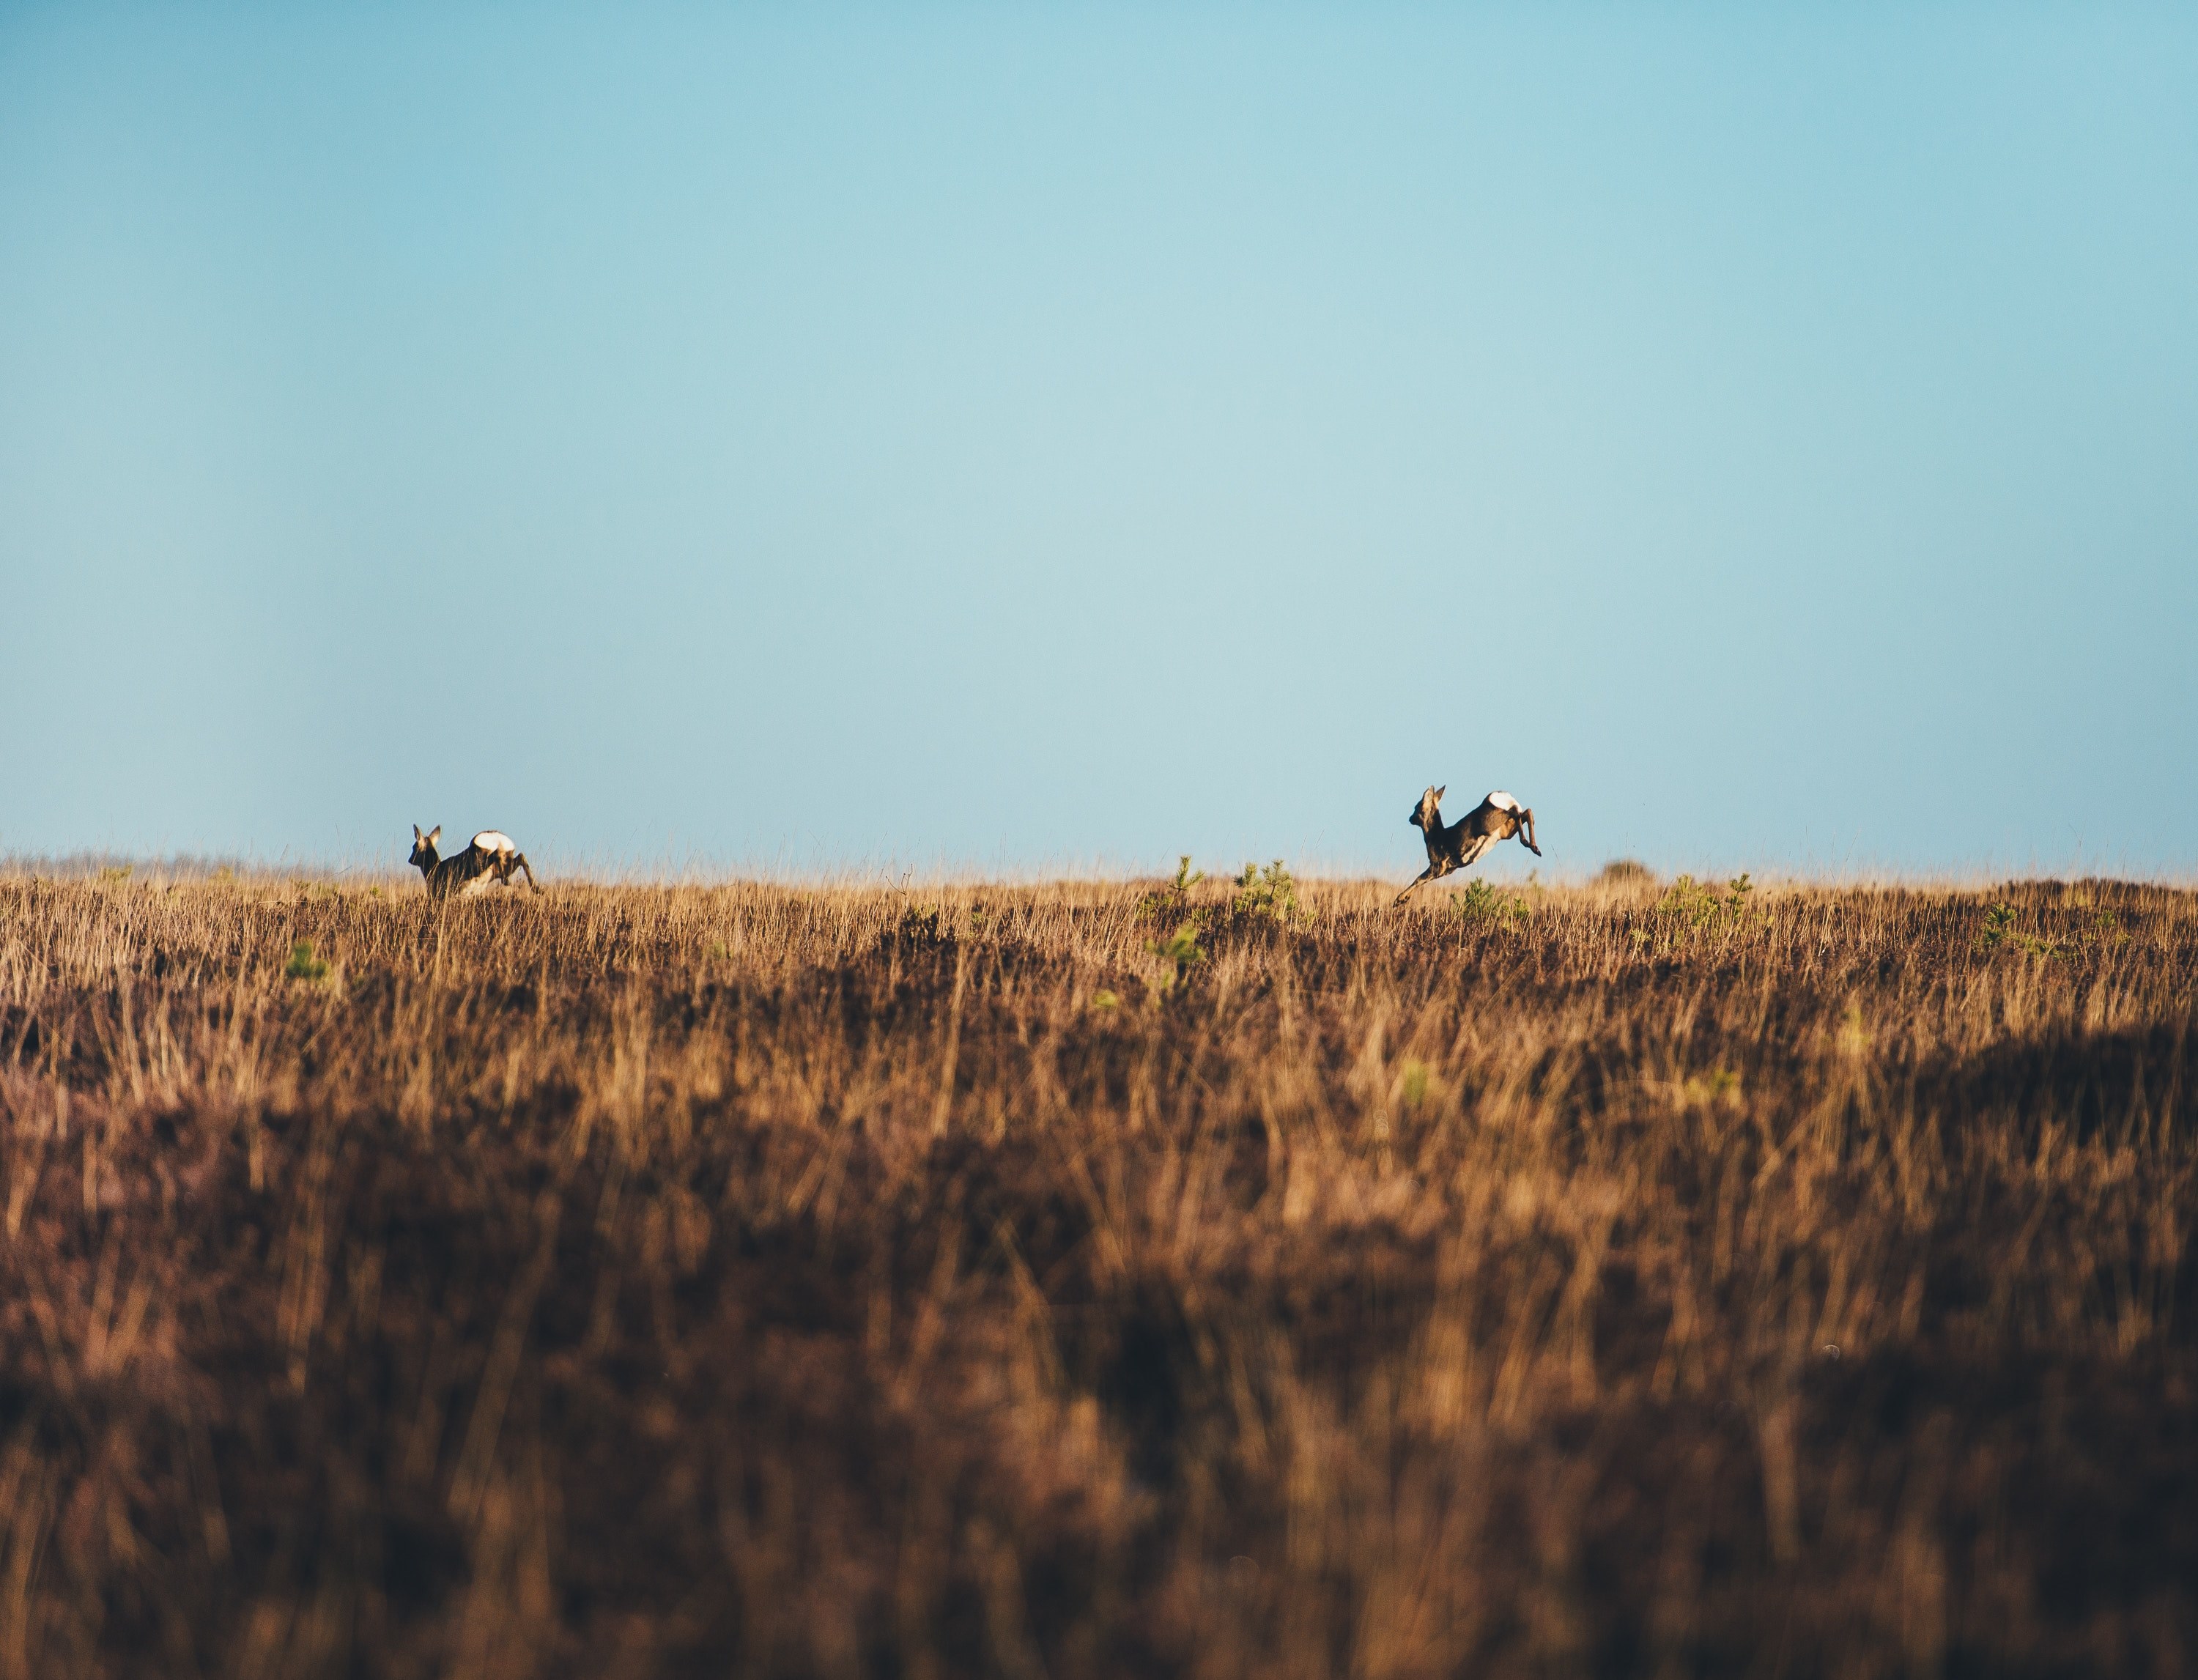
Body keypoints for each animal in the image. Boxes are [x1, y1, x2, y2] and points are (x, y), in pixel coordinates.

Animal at [408, 825, 539, 900]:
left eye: (414, 847)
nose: (410, 860)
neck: (434, 869)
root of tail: (496, 838)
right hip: (504, 862)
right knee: (520, 857)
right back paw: (537, 888)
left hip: (477, 865)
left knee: (497, 856)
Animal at [1394, 786, 1540, 906]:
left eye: (1417, 807)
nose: (1410, 818)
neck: (1435, 837)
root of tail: (1499, 795)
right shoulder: (1447, 870)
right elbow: (1421, 881)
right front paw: (1404, 899)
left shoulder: (1438, 865)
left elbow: (1418, 879)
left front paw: (1398, 900)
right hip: (1506, 830)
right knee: (1527, 812)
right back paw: (1535, 848)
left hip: (1491, 823)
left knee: (1516, 812)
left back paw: (1527, 843)